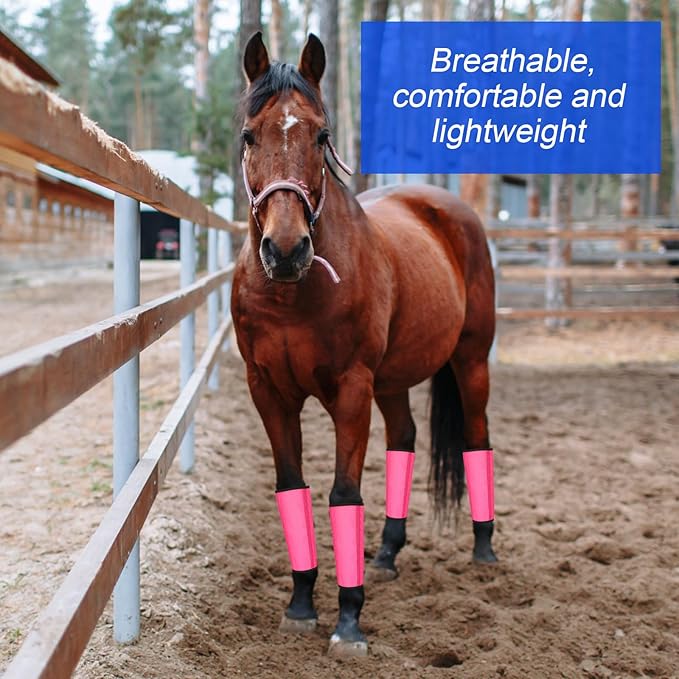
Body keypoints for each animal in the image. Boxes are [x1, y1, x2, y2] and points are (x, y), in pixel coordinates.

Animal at [231, 32, 497, 657]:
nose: (285, 250)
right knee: (404, 438)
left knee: (476, 436)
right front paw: (301, 604)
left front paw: (348, 620)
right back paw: (387, 553)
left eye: (321, 135)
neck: (292, 293)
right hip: (393, 381)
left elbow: (343, 494)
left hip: (471, 361)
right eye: (249, 135)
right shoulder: (268, 392)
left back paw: (483, 548)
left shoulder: (351, 390)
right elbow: (292, 487)